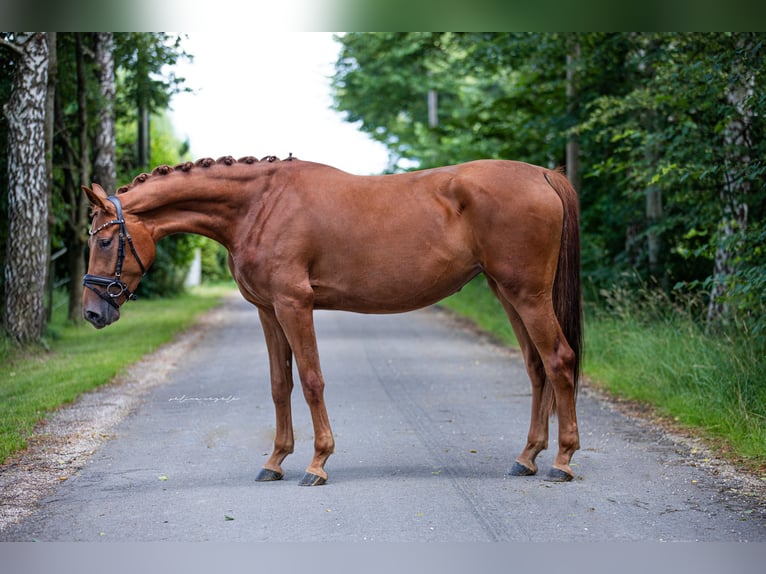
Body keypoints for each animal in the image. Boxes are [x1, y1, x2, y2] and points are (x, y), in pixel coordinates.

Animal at [81, 156, 584, 486]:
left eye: (104, 242)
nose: (92, 312)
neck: (259, 205)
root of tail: (542, 174)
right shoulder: (268, 311)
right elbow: (279, 384)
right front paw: (275, 461)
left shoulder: (294, 305)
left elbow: (310, 380)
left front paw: (317, 463)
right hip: (507, 293)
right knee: (536, 367)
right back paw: (527, 457)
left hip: (527, 295)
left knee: (559, 360)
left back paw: (561, 461)